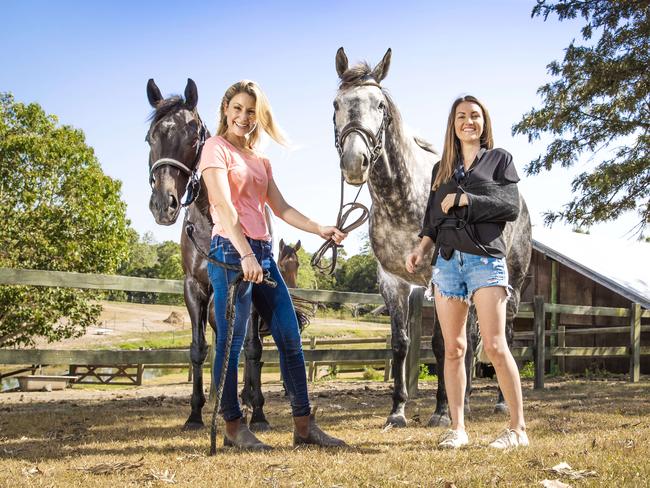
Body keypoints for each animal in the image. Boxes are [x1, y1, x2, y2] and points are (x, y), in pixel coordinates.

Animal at [332, 47, 528, 426]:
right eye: (336, 103)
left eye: (380, 105)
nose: (354, 162)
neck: (401, 200)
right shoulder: (393, 281)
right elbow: (401, 344)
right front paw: (397, 412)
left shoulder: (438, 280)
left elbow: (440, 343)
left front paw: (441, 412)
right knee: (472, 337)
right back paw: (466, 400)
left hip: (511, 281)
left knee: (504, 335)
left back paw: (498, 403)